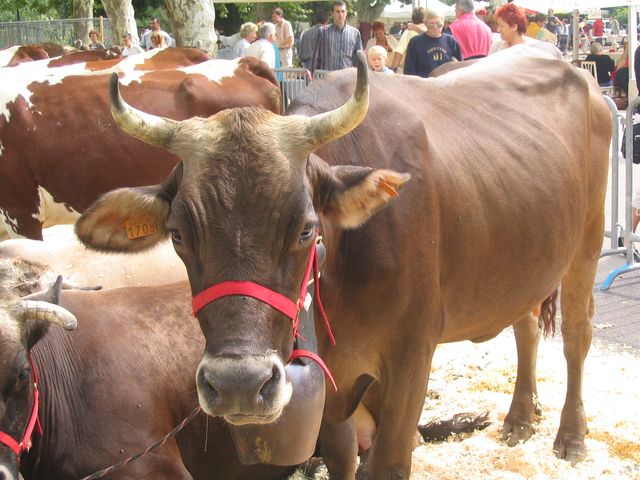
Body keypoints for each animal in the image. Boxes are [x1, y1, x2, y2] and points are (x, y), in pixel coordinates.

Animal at [74, 47, 611, 479]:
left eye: (306, 229)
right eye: (179, 234)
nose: (238, 385)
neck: (342, 282)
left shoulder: (412, 355)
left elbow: (390, 461)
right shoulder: (332, 384)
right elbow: (342, 458)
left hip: (587, 244)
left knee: (577, 335)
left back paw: (571, 436)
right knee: (525, 324)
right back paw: (519, 418)